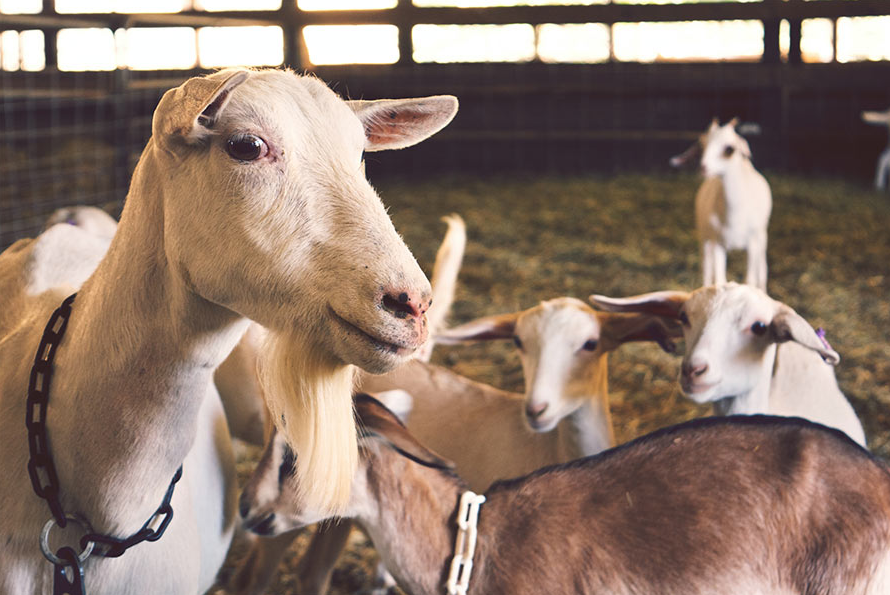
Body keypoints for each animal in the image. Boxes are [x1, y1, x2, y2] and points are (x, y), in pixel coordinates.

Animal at [672, 117, 772, 290]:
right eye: (702, 145)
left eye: (729, 148)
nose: (703, 168)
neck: (735, 216)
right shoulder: (718, 242)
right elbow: (719, 279)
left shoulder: (752, 242)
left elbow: (750, 280)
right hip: (705, 236)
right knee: (706, 269)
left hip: (761, 237)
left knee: (762, 269)